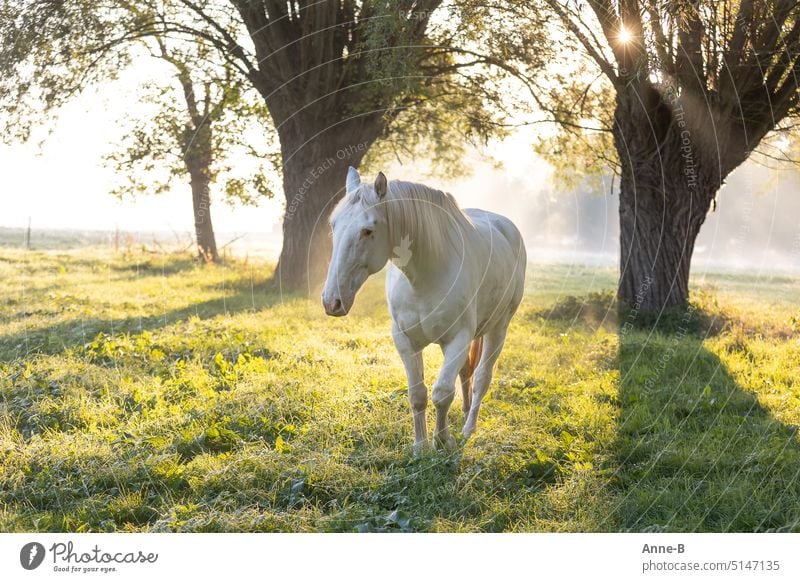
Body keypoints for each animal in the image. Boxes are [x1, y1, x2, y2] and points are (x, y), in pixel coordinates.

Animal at [322, 167, 528, 454]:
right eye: (334, 225)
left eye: (367, 230)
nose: (333, 301)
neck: (425, 275)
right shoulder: (405, 341)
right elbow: (417, 394)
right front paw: (420, 446)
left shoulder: (457, 339)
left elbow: (442, 393)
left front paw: (443, 440)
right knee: (466, 373)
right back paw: (465, 413)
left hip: (498, 328)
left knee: (481, 378)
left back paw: (469, 428)